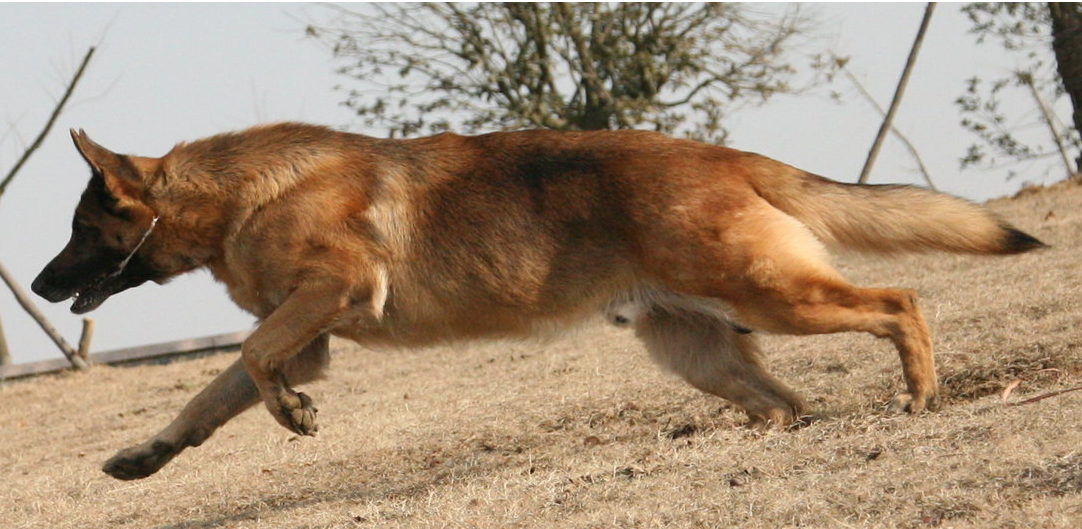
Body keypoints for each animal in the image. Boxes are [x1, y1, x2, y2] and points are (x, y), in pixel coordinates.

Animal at [33, 122, 1043, 478]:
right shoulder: (306, 328)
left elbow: (249, 358)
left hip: (775, 295)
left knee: (900, 299)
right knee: (788, 403)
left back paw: (921, 393)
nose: (39, 284)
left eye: (83, 228)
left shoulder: (330, 294)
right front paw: (148, 455)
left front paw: (292, 414)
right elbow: (209, 395)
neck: (236, 192)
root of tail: (724, 154)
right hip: (699, 348)